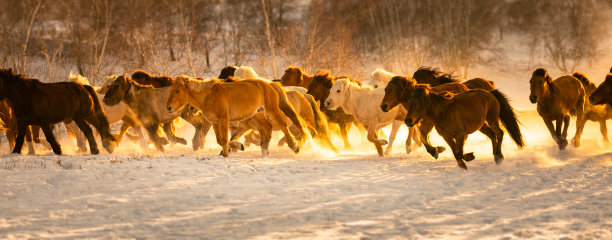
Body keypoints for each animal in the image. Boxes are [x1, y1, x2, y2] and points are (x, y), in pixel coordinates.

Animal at [166, 76, 306, 157]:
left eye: (177, 91)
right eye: (170, 90)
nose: (169, 108)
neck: (209, 96)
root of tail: (269, 84)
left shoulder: (224, 119)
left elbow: (224, 140)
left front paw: (226, 154)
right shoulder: (215, 122)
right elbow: (221, 140)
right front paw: (237, 147)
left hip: (272, 110)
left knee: (283, 125)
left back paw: (295, 147)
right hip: (259, 114)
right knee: (268, 128)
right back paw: (265, 151)